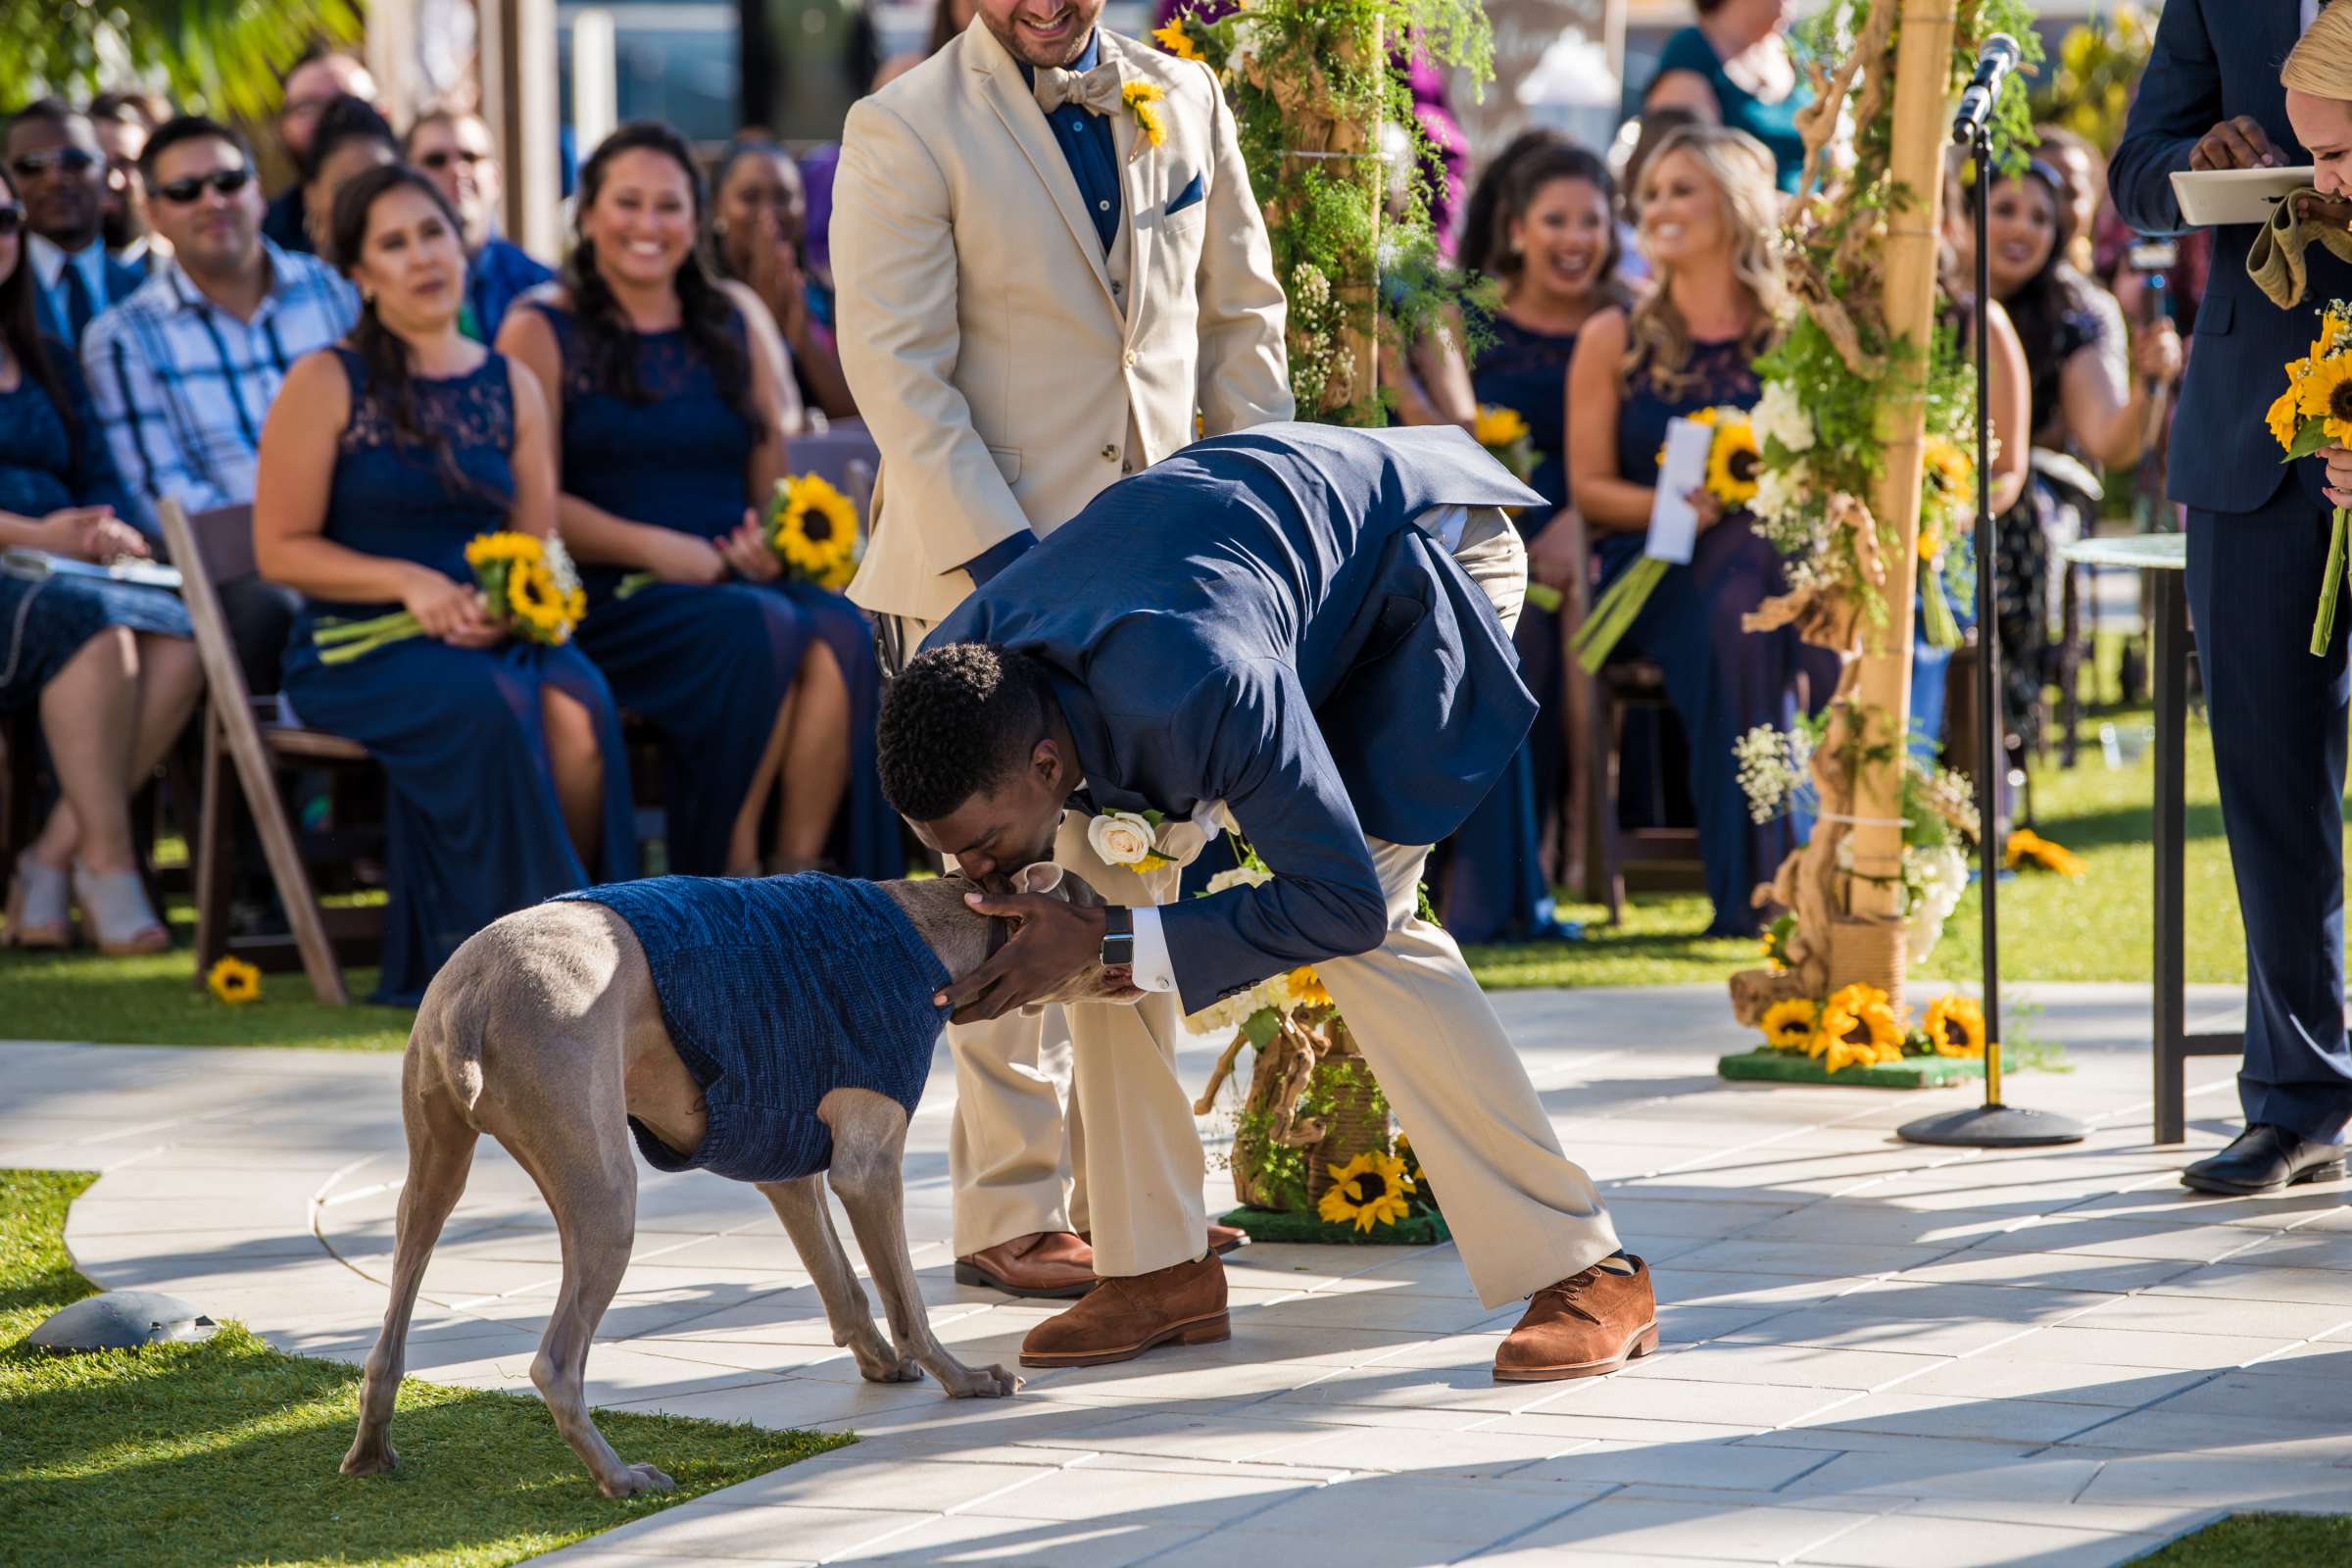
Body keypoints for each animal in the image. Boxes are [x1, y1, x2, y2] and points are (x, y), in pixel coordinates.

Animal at [336, 864, 1133, 1504]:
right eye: (1095, 907)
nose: (1130, 935)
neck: (932, 932)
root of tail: (473, 994)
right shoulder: (868, 1164)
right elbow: (906, 1298)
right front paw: (962, 1378)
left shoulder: (786, 1159)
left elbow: (840, 1283)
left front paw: (882, 1363)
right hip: (604, 1189)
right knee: (555, 1364)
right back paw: (620, 1478)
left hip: (434, 1168)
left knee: (390, 1331)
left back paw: (371, 1452)